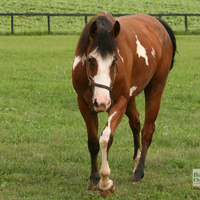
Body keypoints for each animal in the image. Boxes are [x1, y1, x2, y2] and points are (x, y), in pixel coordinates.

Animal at [72, 11, 177, 197]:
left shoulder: (119, 102)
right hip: (131, 98)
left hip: (155, 88)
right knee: (136, 123)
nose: (102, 102)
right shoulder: (84, 104)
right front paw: (94, 180)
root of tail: (158, 23)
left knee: (147, 131)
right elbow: (93, 143)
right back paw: (136, 161)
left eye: (114, 61)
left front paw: (105, 182)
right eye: (90, 60)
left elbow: (106, 138)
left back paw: (139, 172)